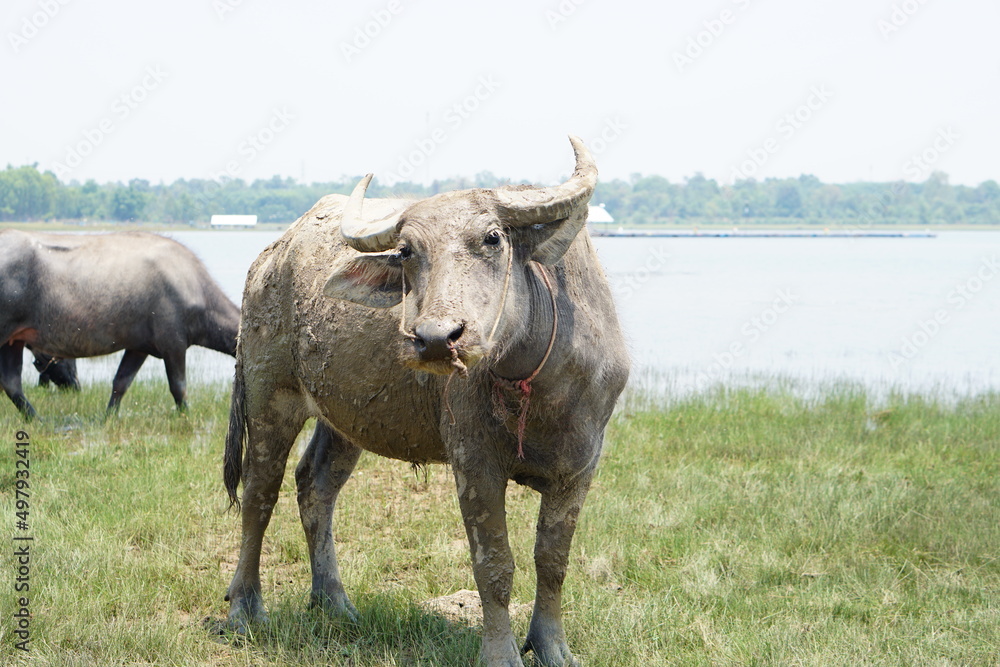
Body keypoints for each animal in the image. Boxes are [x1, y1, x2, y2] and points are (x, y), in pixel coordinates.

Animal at [0, 230, 240, 418]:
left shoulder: (139, 347)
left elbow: (121, 383)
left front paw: (109, 416)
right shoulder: (173, 343)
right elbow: (178, 387)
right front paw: (185, 416)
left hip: (13, 340)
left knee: (11, 383)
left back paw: (35, 419)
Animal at [223, 137, 629, 666]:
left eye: (493, 238)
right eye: (408, 251)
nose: (436, 338)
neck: (538, 384)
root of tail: (268, 260)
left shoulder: (581, 465)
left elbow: (552, 560)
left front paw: (551, 647)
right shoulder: (473, 459)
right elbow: (494, 563)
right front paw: (500, 653)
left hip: (344, 418)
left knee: (315, 485)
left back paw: (334, 602)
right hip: (270, 394)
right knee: (259, 493)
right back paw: (244, 609)